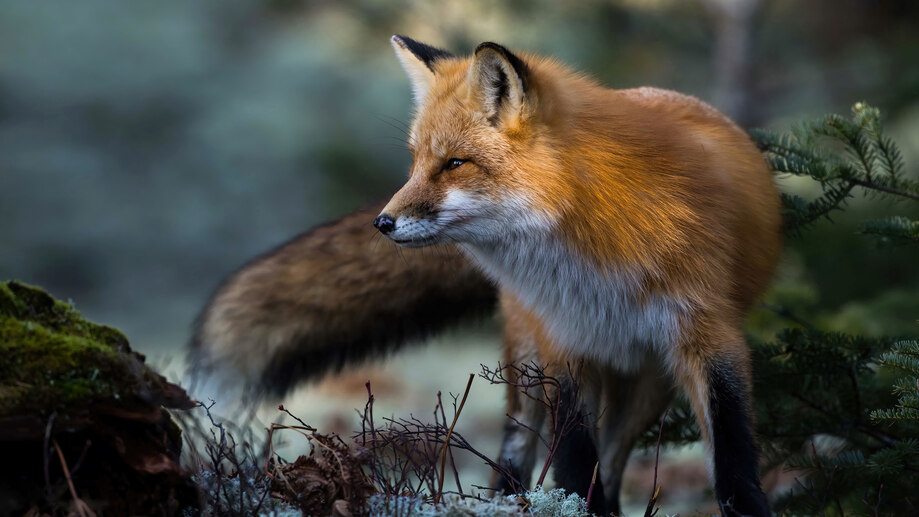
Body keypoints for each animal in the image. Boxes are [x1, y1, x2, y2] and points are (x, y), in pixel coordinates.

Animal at [192, 36, 782, 516]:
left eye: (454, 163)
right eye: (415, 162)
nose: (382, 222)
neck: (598, 259)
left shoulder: (709, 335)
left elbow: (730, 453)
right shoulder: (564, 344)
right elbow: (574, 462)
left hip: (648, 380)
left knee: (614, 461)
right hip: (529, 360)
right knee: (518, 450)